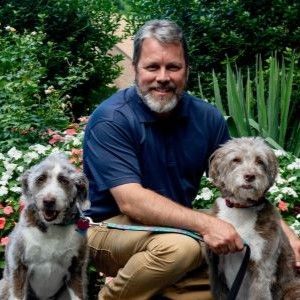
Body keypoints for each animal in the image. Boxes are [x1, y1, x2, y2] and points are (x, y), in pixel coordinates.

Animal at [0, 154, 89, 298]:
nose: (48, 201)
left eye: (64, 180)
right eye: (40, 178)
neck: (52, 228)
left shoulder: (76, 268)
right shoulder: (18, 265)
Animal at [207, 138, 298, 300]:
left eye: (260, 161)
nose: (249, 176)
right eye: (236, 160)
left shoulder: (263, 262)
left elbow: (260, 290)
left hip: (291, 290)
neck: (240, 207)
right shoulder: (215, 268)